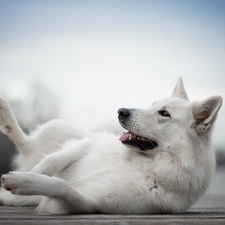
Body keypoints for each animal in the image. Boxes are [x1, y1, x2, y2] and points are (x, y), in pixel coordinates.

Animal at [0, 78, 221, 214]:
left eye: (164, 113)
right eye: (152, 105)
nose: (121, 111)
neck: (147, 164)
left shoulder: (87, 203)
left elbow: (61, 186)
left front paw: (23, 181)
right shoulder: (89, 143)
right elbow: (51, 160)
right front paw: (32, 174)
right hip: (58, 126)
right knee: (27, 145)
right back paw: (5, 111)